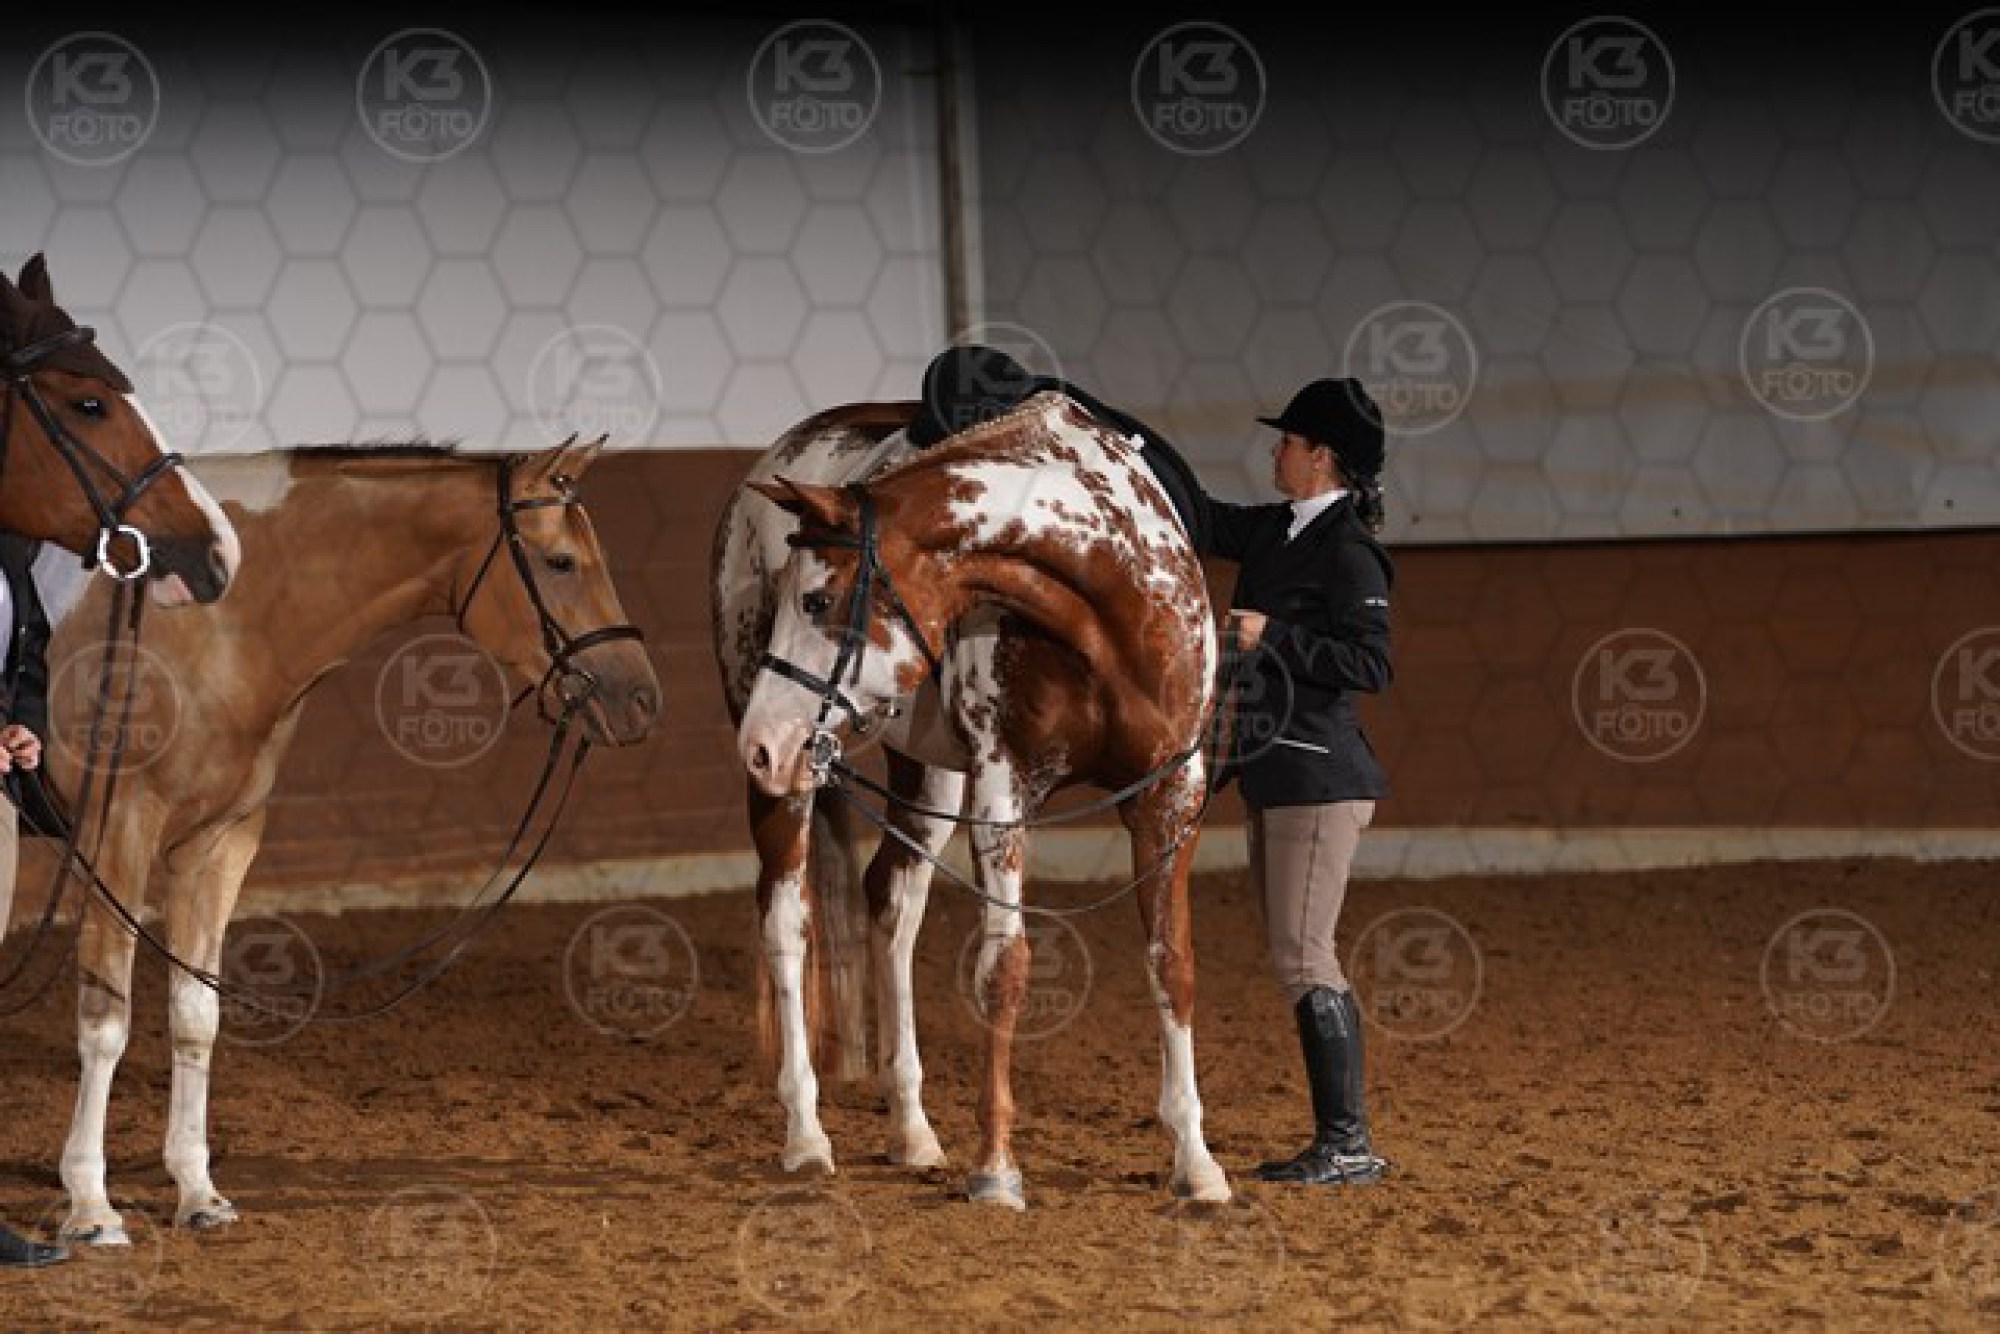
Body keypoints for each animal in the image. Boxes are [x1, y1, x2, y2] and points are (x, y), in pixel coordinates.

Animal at [29, 437, 658, 1244]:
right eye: (560, 562)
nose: (642, 698)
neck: (220, 621)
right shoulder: (121, 830)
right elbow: (105, 1019)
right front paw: (89, 1204)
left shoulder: (220, 840)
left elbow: (197, 1015)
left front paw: (197, 1190)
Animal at [712, 390, 1231, 1209]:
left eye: (819, 598)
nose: (760, 743)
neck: (1111, 607)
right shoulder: (1001, 791)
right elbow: (1005, 966)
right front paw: (996, 1167)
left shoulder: (1170, 792)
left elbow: (1171, 963)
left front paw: (1196, 1161)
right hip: (795, 783)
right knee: (786, 922)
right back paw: (806, 1134)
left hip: (921, 775)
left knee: (893, 906)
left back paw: (912, 1130)